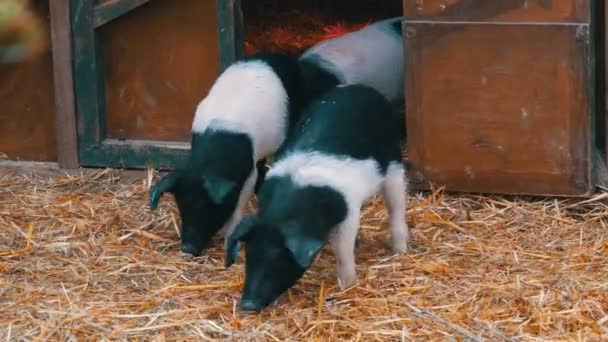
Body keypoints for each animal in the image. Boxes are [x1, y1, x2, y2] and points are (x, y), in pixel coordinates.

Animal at [223, 84, 408, 312]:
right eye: (250, 256)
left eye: (280, 258)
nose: (248, 305)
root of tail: (363, 88)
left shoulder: (348, 210)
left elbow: (342, 249)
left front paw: (347, 285)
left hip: (394, 162)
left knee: (396, 206)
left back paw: (400, 251)